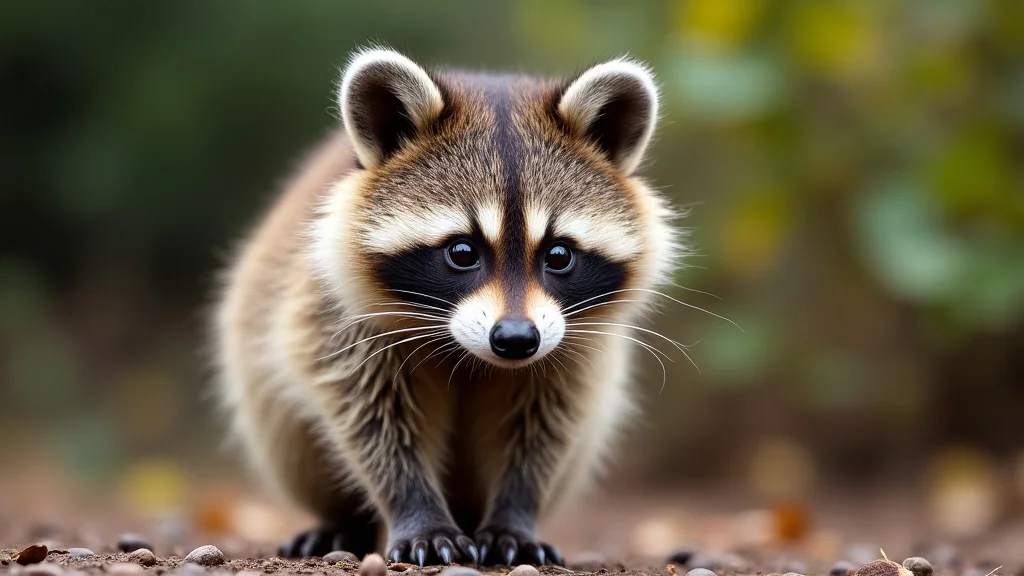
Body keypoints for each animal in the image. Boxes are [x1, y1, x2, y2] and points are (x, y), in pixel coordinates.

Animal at [213, 47, 679, 566]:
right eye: (462, 252)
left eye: (559, 255)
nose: (516, 340)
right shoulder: (336, 319)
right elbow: (371, 418)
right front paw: (416, 509)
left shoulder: (577, 348)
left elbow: (545, 428)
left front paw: (515, 512)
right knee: (289, 437)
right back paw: (343, 523)